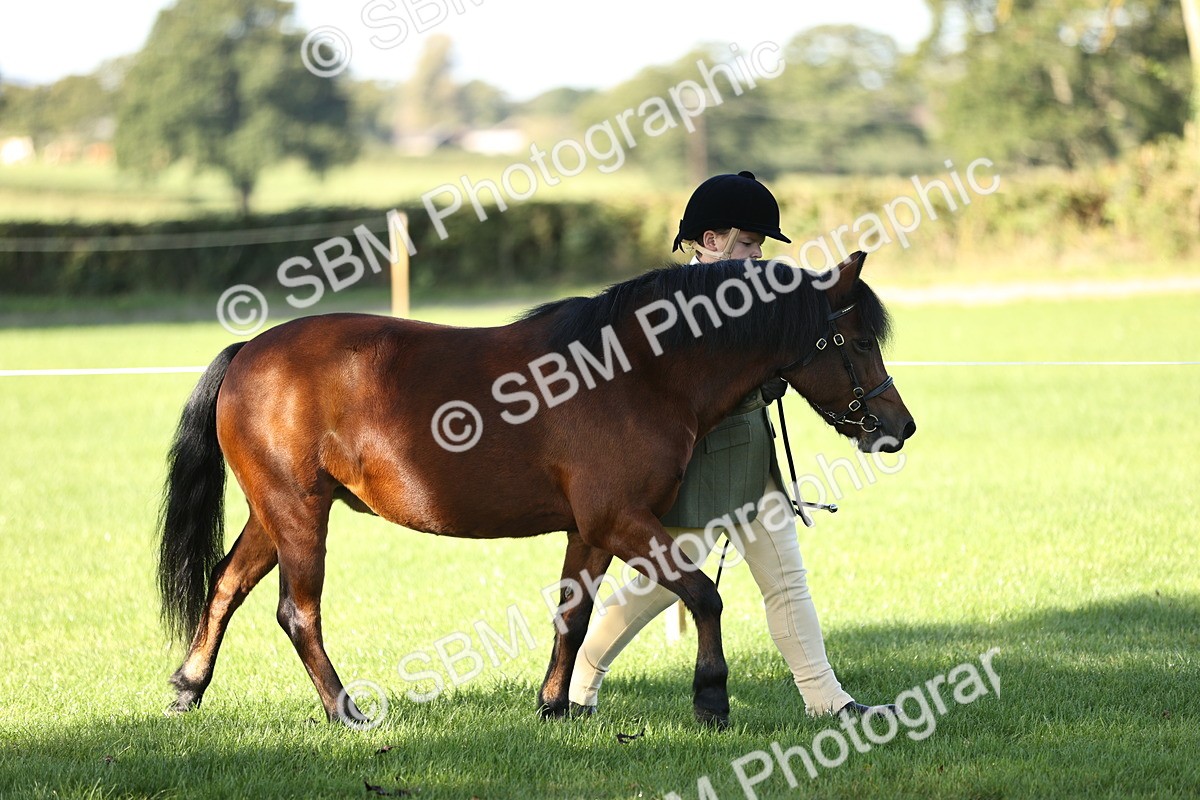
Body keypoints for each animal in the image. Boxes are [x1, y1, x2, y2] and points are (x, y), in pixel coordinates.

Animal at [157, 250, 915, 728]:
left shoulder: (591, 530)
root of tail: (249, 351)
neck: (639, 371)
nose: (900, 426)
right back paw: (346, 712)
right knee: (297, 613)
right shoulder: (620, 520)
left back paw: (188, 690)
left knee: (225, 586)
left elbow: (574, 617)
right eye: (856, 339)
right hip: (299, 514)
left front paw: (553, 705)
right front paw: (711, 699)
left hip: (274, 514)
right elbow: (705, 594)